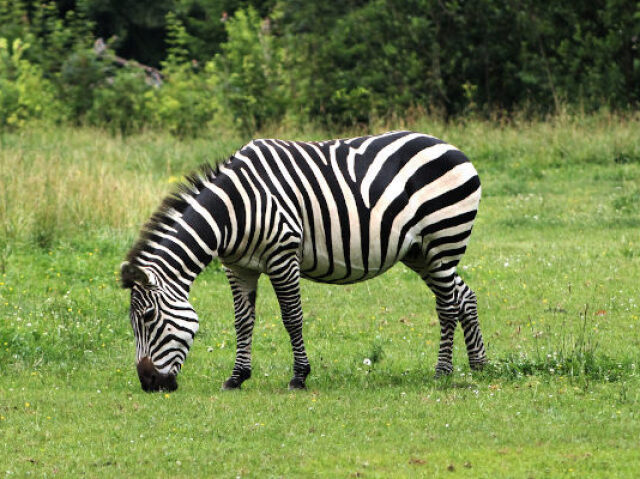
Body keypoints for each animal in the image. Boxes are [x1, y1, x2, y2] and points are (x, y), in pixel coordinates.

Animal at [122, 129, 488, 392]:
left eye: (149, 317)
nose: (148, 384)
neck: (234, 211)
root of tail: (451, 147)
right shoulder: (238, 267)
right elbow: (243, 321)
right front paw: (237, 377)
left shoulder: (282, 255)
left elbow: (292, 318)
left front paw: (299, 376)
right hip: (420, 252)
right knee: (463, 296)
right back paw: (479, 364)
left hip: (443, 240)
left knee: (447, 305)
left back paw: (443, 371)